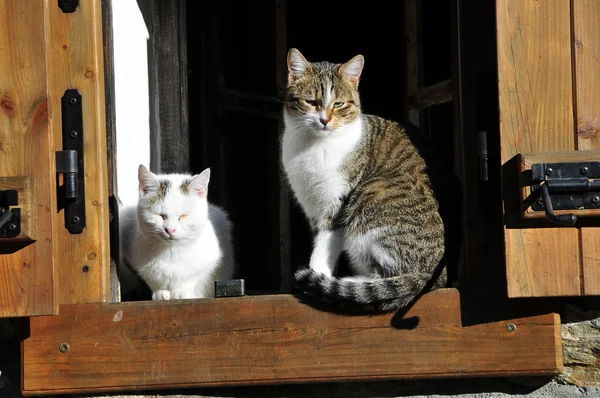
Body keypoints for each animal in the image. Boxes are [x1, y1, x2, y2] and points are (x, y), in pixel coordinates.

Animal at [119, 164, 234, 298]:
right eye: (161, 216)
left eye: (183, 216)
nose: (170, 229)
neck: (171, 251)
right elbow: (152, 278)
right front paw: (160, 292)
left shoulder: (209, 260)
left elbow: (193, 275)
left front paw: (182, 291)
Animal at [282, 48, 446, 312]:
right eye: (311, 102)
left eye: (339, 104)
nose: (324, 120)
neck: (314, 146)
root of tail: (439, 275)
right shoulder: (311, 204)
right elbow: (319, 239)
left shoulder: (337, 202)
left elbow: (324, 244)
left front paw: (316, 275)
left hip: (370, 198)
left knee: (389, 277)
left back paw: (349, 283)